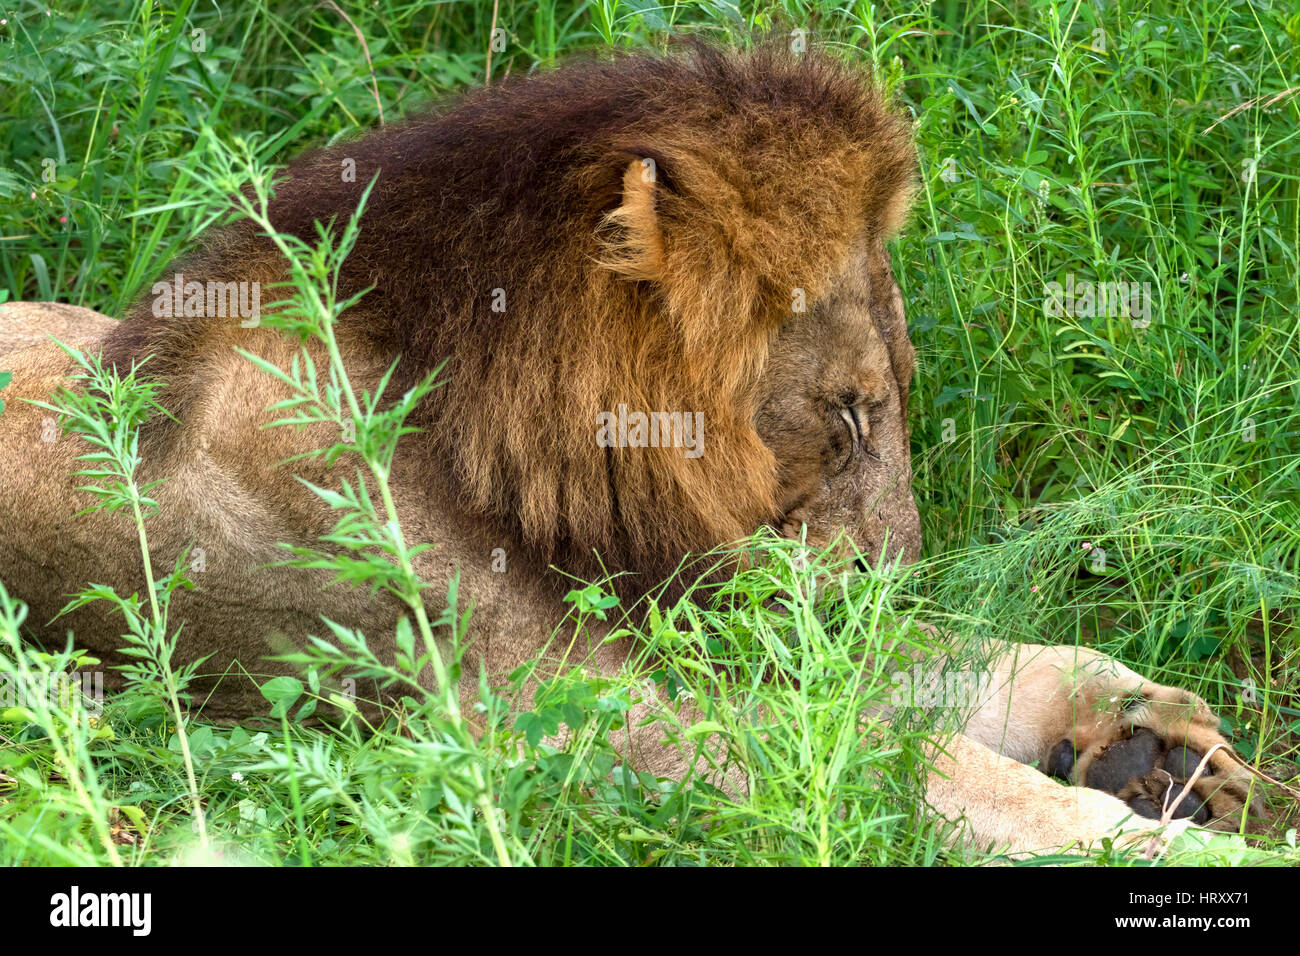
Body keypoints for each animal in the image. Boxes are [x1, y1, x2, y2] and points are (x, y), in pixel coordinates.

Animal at [0, 42, 1264, 857]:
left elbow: (967, 664)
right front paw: (1180, 841)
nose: (893, 573)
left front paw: (1154, 734)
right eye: (848, 411)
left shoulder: (700, 599)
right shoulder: (556, 708)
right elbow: (921, 764)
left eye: (894, 398)